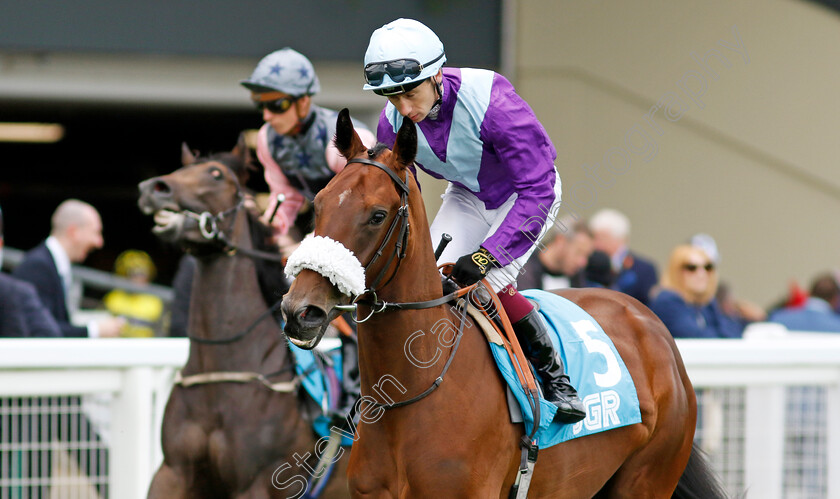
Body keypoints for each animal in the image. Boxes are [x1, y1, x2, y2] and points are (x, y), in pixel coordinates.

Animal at [284, 110, 728, 499]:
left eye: (377, 215)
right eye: (318, 203)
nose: (300, 311)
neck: (409, 397)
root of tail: (650, 323)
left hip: (648, 478)